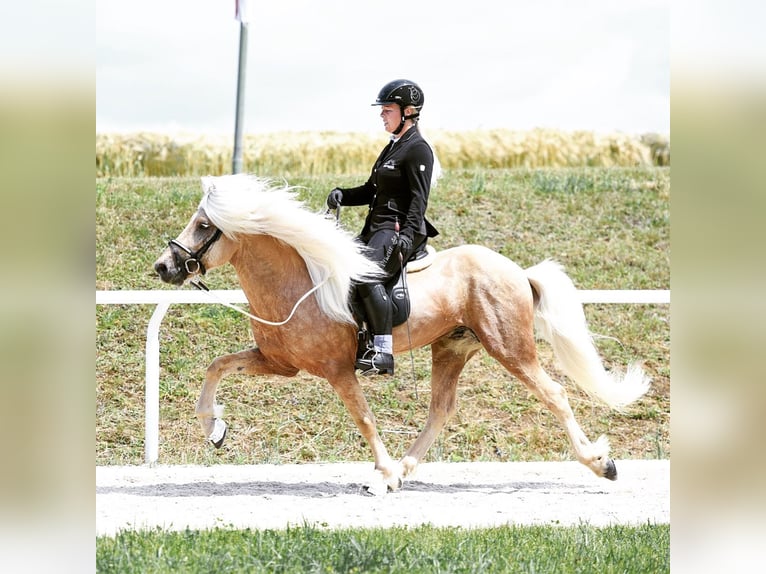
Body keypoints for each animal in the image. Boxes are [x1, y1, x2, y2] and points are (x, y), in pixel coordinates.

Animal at [153, 176, 652, 496]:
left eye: (203, 226)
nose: (164, 266)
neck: (300, 280)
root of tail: (517, 270)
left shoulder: (338, 371)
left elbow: (364, 419)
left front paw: (382, 472)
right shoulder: (279, 362)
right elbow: (216, 366)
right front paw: (214, 429)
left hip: (510, 348)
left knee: (555, 395)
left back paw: (601, 464)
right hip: (452, 348)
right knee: (441, 409)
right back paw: (406, 470)